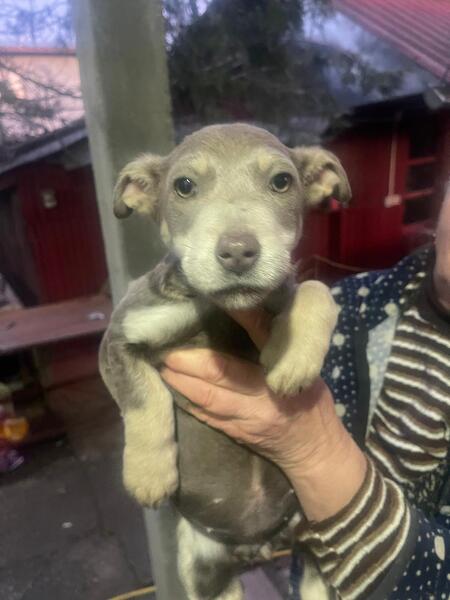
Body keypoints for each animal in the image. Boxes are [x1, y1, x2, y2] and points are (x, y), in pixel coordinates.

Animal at [99, 123, 350, 600]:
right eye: (183, 186)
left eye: (282, 181)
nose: (237, 252)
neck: (222, 310)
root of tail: (259, 545)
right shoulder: (120, 338)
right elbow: (144, 400)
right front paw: (148, 473)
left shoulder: (284, 289)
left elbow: (316, 290)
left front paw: (292, 359)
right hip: (204, 570)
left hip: (315, 557)